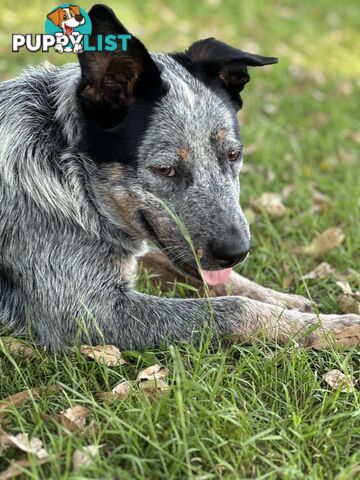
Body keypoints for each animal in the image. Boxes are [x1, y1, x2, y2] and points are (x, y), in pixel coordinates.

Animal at [0, 2, 358, 348]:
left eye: (233, 155)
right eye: (165, 169)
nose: (236, 252)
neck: (68, 171)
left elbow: (210, 275)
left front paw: (286, 300)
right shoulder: (90, 311)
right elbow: (236, 307)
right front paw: (329, 328)